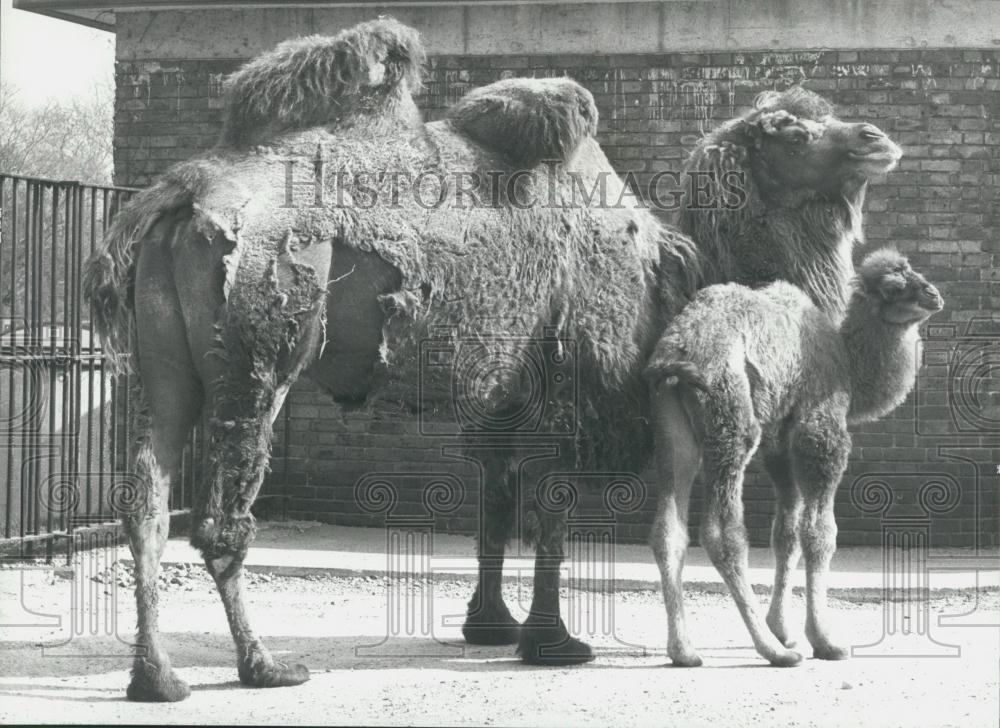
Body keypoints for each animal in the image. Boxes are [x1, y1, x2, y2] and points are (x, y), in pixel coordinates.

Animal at [644, 249, 940, 664]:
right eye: (893, 288)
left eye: (913, 270)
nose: (933, 294)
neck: (847, 363)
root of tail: (674, 356)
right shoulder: (820, 429)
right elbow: (819, 533)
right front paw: (823, 640)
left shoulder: (780, 444)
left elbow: (786, 534)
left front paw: (784, 629)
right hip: (730, 418)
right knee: (722, 532)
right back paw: (772, 652)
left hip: (671, 425)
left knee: (669, 530)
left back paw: (685, 650)